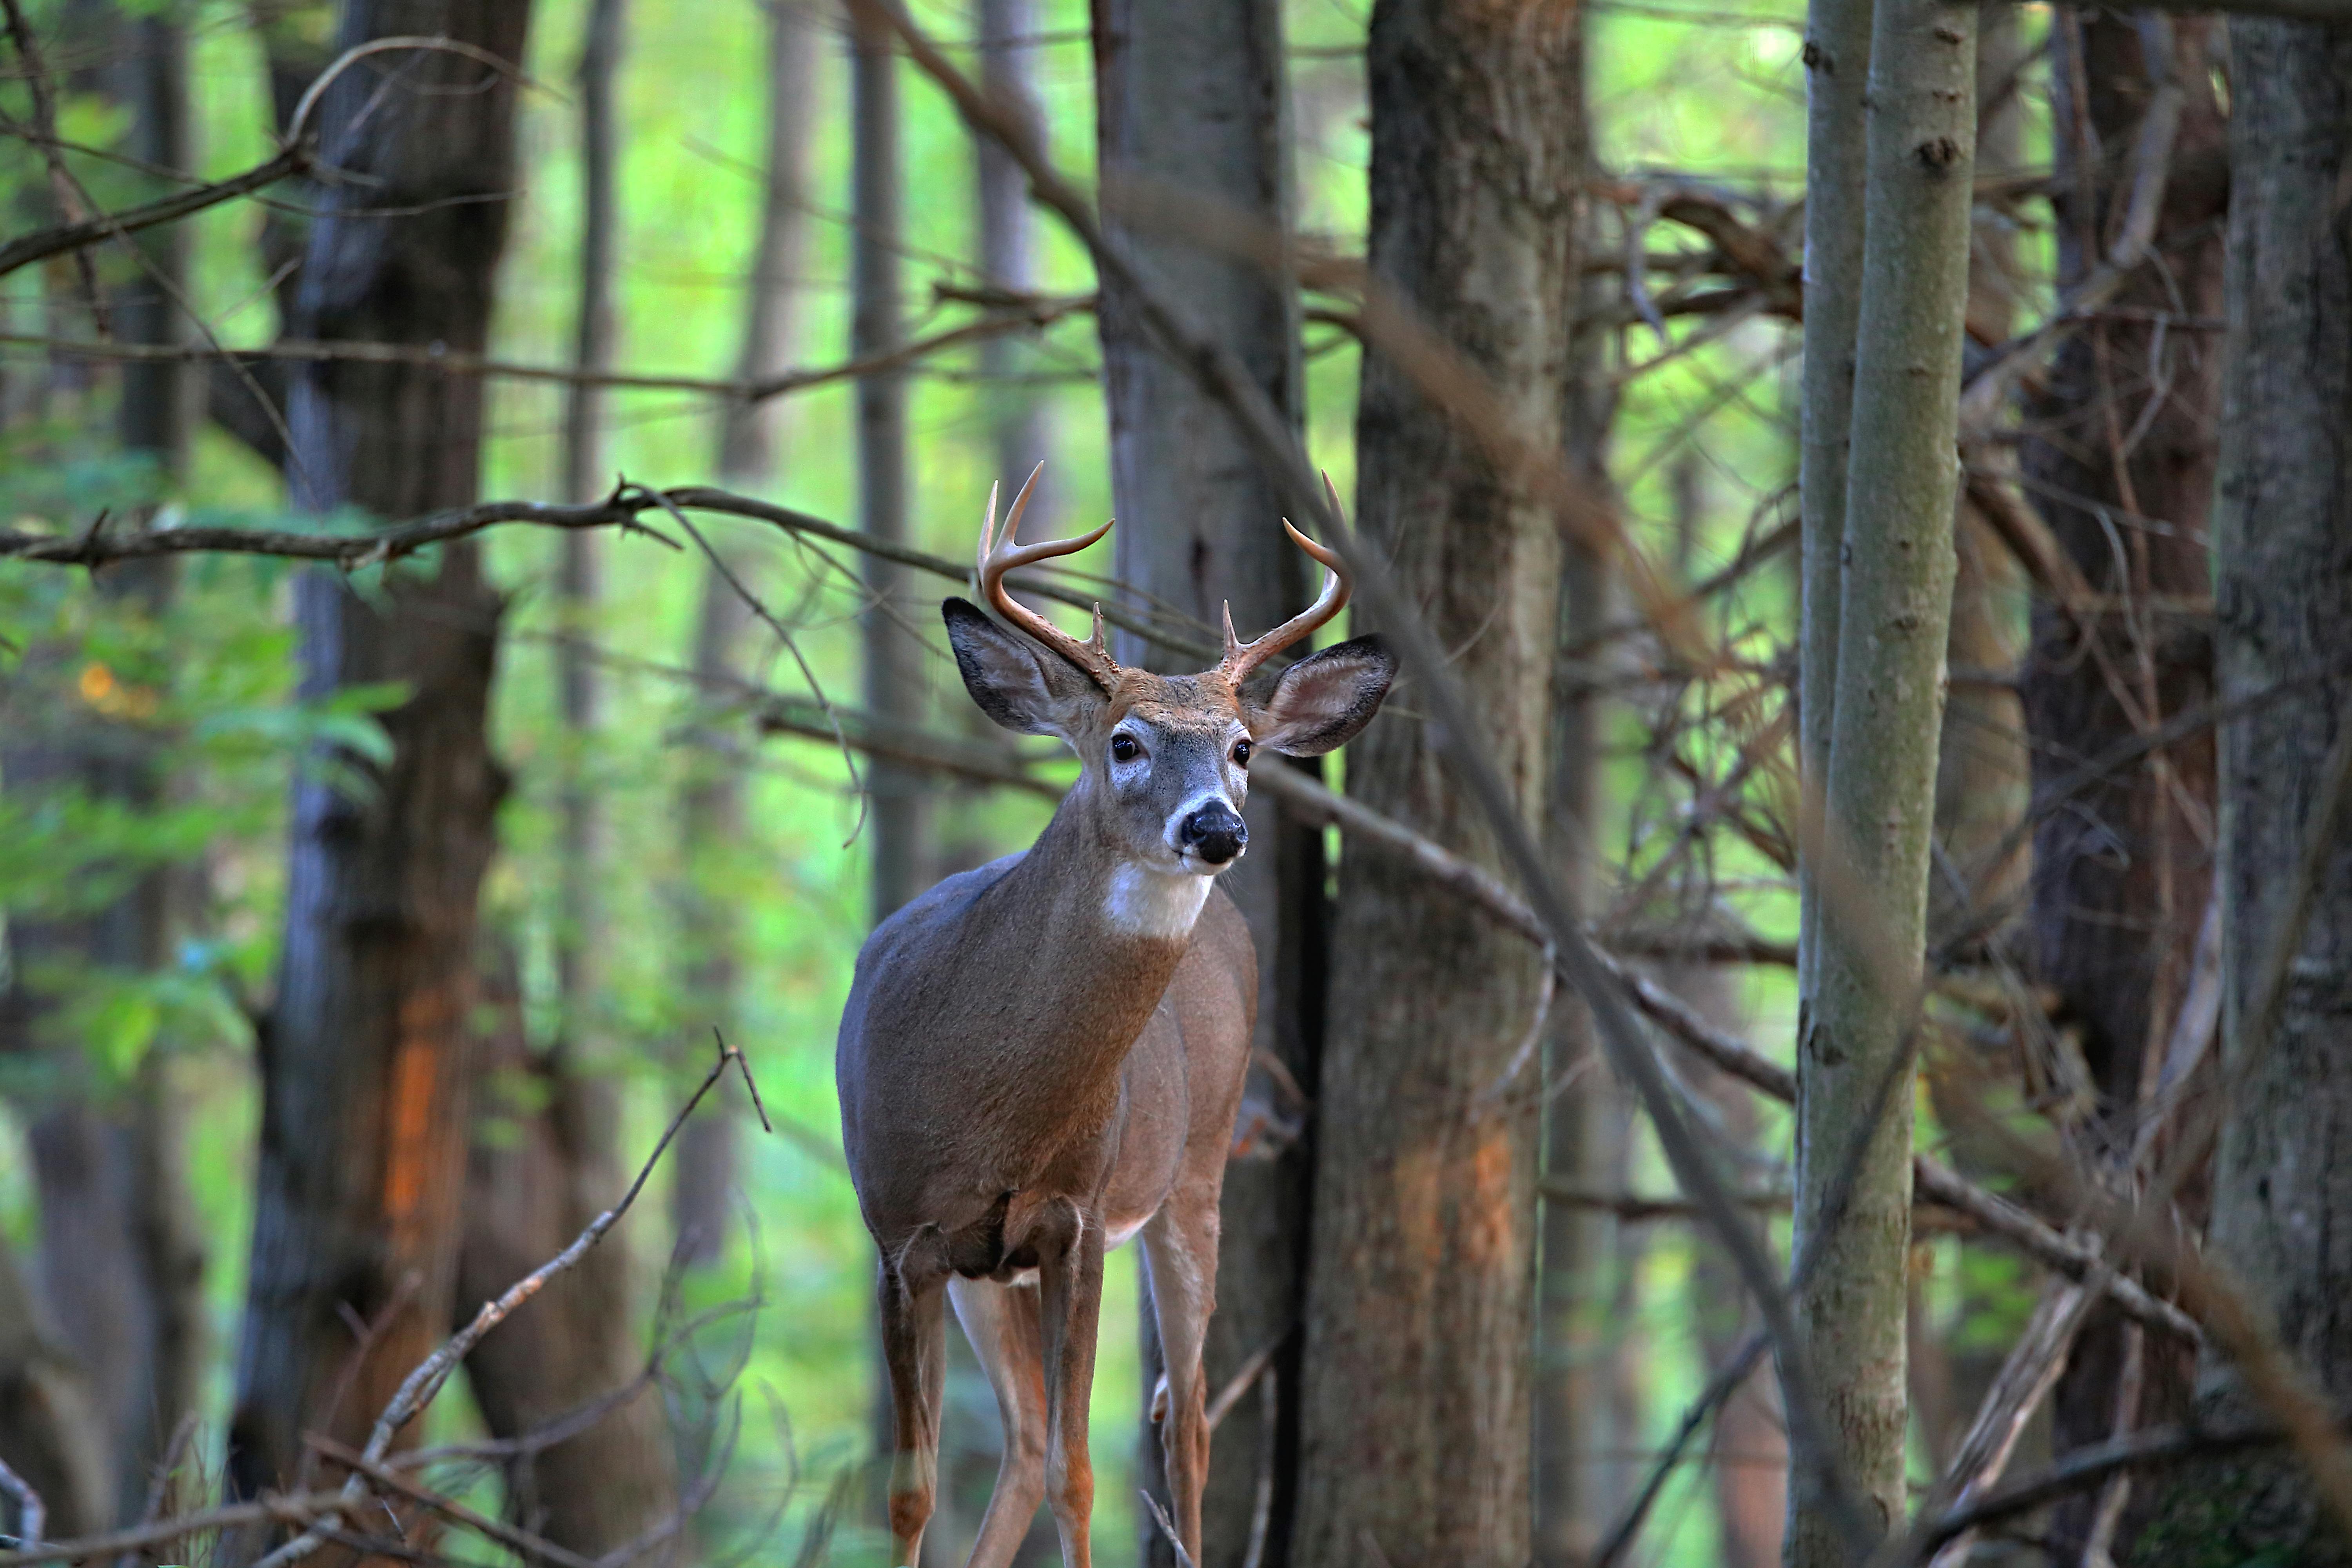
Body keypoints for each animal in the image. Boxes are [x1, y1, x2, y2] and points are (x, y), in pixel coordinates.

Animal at [834, 464, 1395, 1568]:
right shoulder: (901, 1235)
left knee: (1184, 1423)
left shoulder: (1078, 1219)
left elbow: (1080, 1473)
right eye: (1125, 742)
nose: (1217, 825)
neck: (990, 1102)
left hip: (1196, 1172)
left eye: (1243, 746)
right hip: (988, 1273)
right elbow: (914, 1487)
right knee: (1025, 1438)